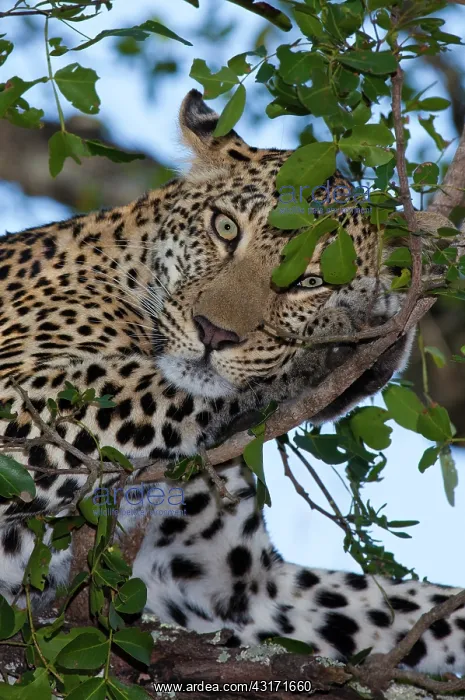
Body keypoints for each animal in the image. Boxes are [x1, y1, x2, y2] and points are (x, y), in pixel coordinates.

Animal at [0, 89, 463, 676]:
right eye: (225, 228)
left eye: (311, 281)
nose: (213, 332)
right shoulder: (20, 403)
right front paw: (339, 344)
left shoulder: (245, 586)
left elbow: (408, 602)